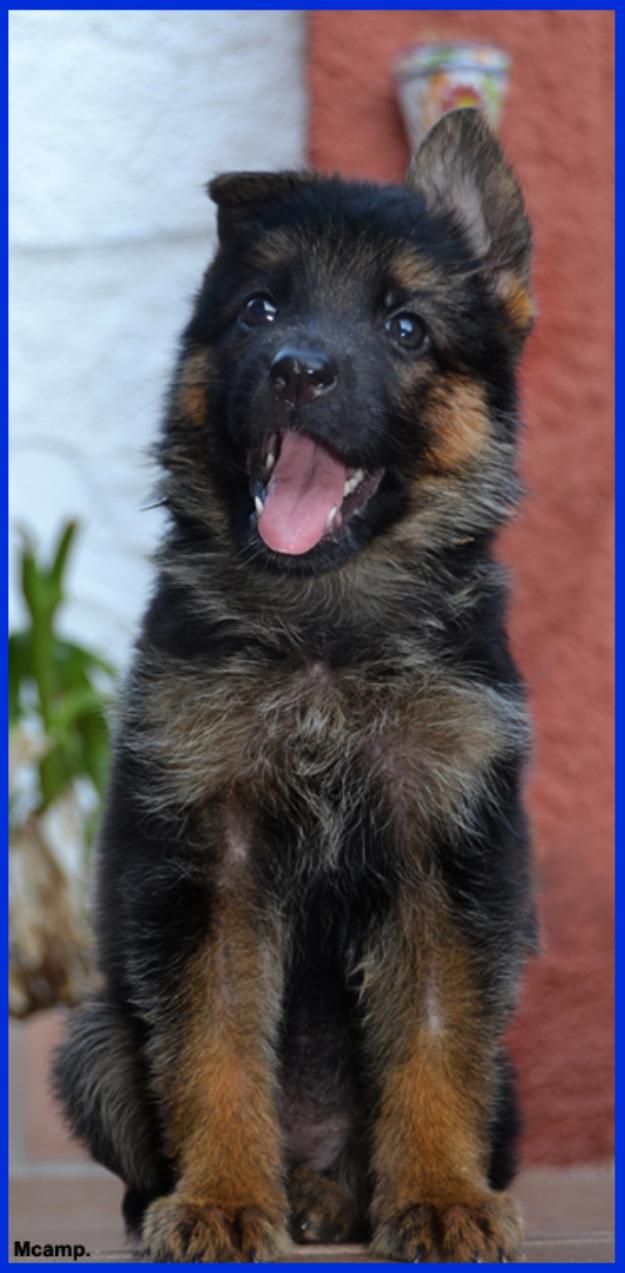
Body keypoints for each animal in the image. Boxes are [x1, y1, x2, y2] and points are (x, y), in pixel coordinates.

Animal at [53, 109, 537, 1262]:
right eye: (259, 309)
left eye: (405, 327)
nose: (298, 369)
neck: (322, 636)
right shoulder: (210, 863)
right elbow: (215, 1044)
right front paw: (225, 1200)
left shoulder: (439, 858)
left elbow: (433, 1038)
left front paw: (439, 1195)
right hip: (91, 1042)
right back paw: (259, 1193)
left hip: (509, 1083)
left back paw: (349, 1193)